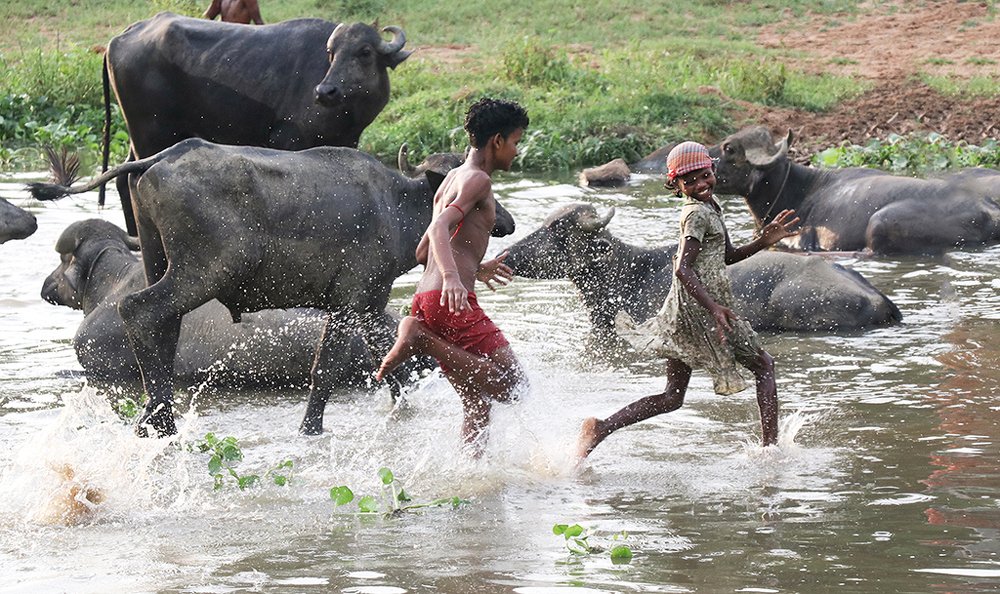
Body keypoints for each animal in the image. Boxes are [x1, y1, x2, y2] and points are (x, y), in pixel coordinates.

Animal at [101, 13, 411, 234]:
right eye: (332, 53)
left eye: (365, 52)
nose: (325, 91)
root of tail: (123, 35)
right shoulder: (288, 142)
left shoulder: (345, 143)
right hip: (151, 133)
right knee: (134, 180)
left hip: (143, 136)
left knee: (121, 177)